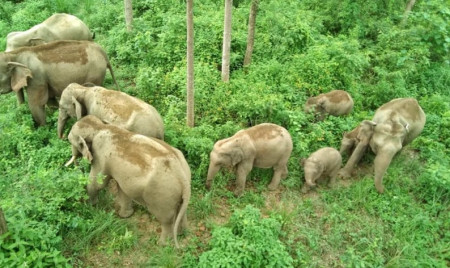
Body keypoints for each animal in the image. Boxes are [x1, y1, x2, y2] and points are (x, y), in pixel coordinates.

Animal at [64, 115, 189, 247]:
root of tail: (181, 175)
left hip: (161, 194)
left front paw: (91, 206)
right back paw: (182, 233)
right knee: (181, 209)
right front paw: (124, 216)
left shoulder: (100, 155)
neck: (100, 126)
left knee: (165, 219)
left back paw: (162, 244)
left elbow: (97, 183)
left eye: (71, 141)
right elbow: (122, 189)